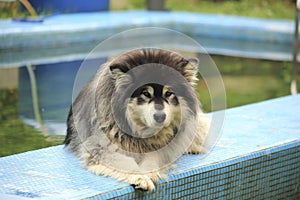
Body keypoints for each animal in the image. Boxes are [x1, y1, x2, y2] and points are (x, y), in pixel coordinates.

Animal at [63, 48, 209, 191]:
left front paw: (150, 172)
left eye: (168, 93)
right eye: (145, 93)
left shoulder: (162, 148)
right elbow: (124, 162)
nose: (160, 117)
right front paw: (139, 177)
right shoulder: (99, 147)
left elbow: (153, 158)